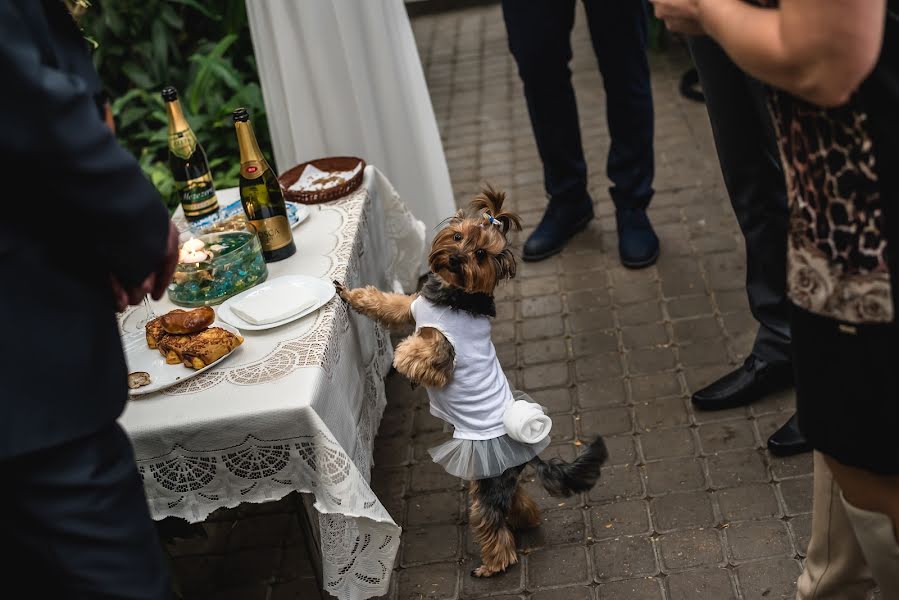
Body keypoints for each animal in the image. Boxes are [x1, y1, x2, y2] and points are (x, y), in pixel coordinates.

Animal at [334, 186, 608, 576]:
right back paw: (527, 520)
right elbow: (385, 302)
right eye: (458, 237)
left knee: (492, 521)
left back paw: (494, 564)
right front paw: (351, 294)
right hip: (497, 476)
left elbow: (420, 353)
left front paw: (403, 360)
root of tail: (527, 450)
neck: (457, 296)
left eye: (480, 254)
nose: (456, 258)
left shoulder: (442, 352)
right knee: (516, 501)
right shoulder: (412, 306)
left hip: (488, 483)